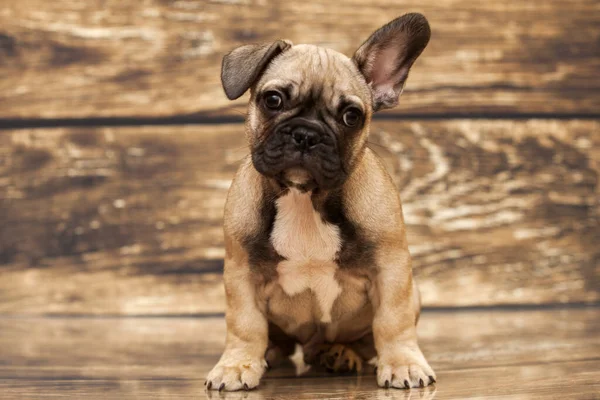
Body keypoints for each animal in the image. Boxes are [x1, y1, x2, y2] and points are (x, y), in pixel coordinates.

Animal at [209, 11, 434, 390]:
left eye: (351, 116)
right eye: (273, 100)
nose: (306, 134)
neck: (304, 196)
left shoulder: (391, 269)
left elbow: (393, 320)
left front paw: (403, 363)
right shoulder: (241, 274)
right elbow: (245, 324)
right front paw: (237, 365)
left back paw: (342, 354)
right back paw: (273, 354)